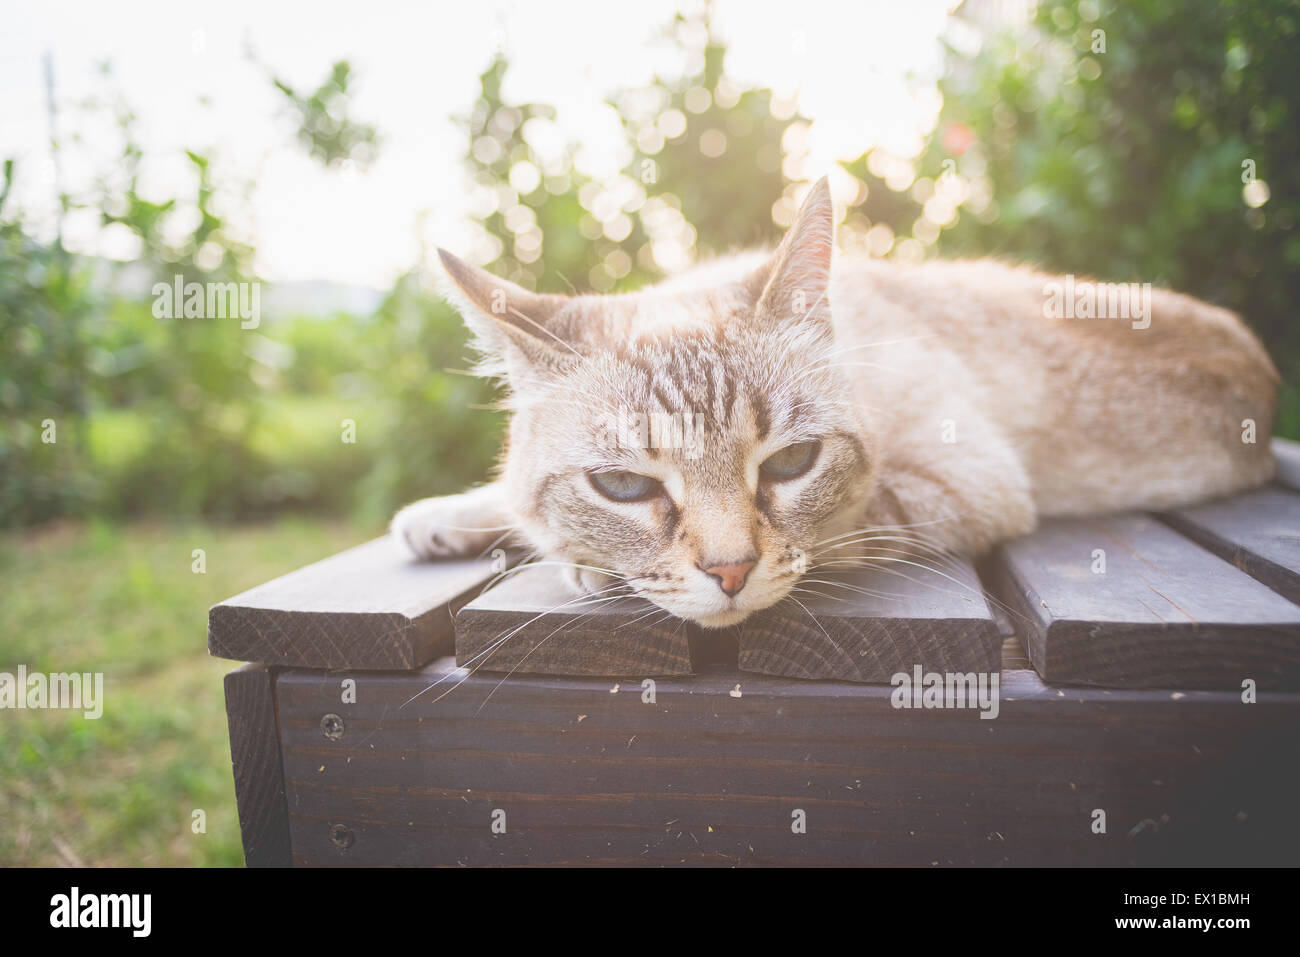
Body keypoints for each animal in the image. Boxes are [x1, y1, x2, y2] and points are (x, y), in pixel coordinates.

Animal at [390, 178, 1274, 629]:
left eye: (790, 463)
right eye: (626, 485)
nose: (730, 573)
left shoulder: (962, 481)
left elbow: (843, 525)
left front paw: (574, 558)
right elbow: (512, 498)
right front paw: (453, 516)